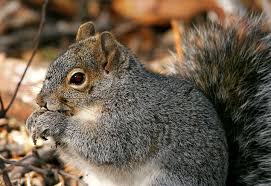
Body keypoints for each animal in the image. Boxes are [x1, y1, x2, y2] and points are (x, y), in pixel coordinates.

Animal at [25, 15, 271, 185]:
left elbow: (107, 147)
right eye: (53, 63)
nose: (40, 100)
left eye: (77, 78)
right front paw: (34, 119)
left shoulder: (137, 124)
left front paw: (55, 123)